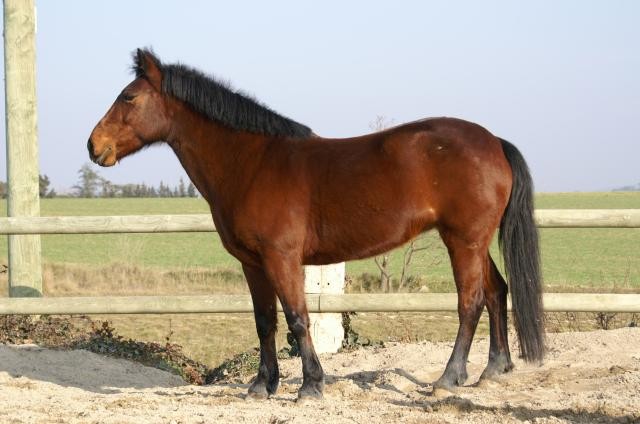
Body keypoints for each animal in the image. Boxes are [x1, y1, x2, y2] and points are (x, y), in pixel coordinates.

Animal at [88, 48, 544, 401]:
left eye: (128, 96)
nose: (94, 146)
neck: (251, 164)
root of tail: (494, 142)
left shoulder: (282, 258)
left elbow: (296, 318)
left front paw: (310, 386)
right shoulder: (252, 263)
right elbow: (265, 322)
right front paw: (262, 386)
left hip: (463, 241)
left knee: (471, 302)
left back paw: (449, 378)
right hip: (473, 241)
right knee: (496, 291)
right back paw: (494, 369)